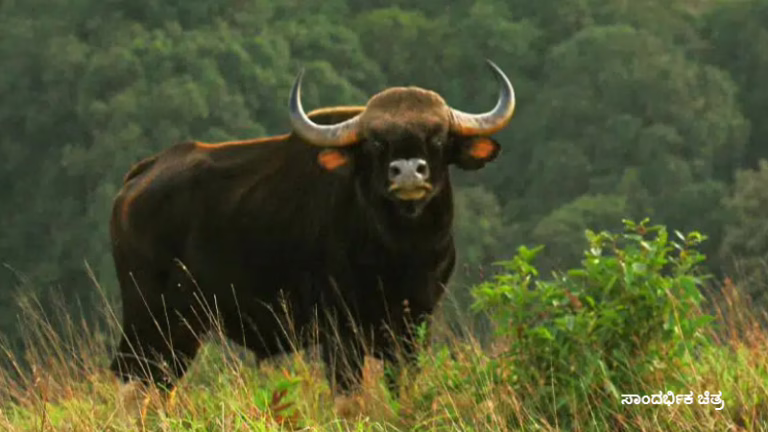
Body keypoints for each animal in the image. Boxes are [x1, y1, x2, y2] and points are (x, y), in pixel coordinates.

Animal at [109, 59, 516, 410]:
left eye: (438, 138)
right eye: (375, 142)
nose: (407, 172)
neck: (399, 253)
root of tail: (140, 177)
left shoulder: (415, 326)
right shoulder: (340, 333)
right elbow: (348, 399)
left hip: (184, 328)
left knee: (161, 383)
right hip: (149, 317)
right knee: (132, 379)